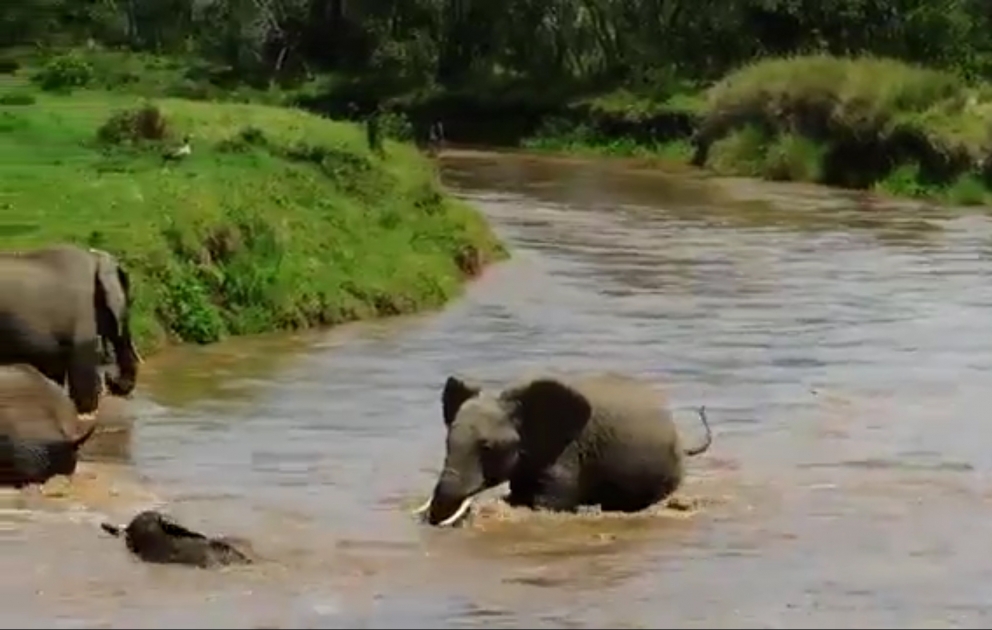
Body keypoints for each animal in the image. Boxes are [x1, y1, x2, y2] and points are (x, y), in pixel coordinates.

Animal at [0, 244, 141, 419]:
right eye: (130, 303)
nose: (110, 379)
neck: (95, 258)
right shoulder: (82, 313)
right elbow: (81, 368)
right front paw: (87, 415)